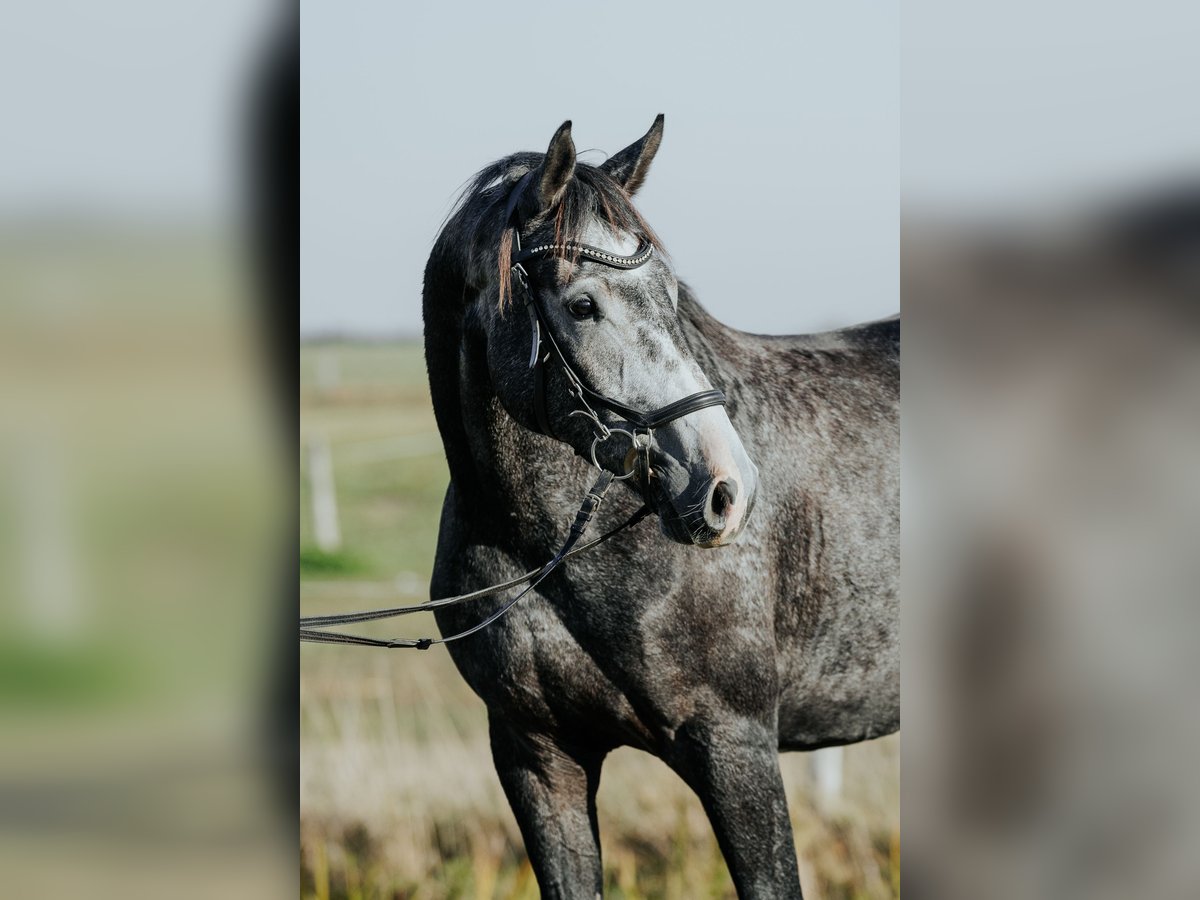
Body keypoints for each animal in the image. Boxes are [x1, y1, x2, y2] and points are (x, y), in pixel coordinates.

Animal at [417, 116, 897, 897]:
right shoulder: (536, 756)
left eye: (671, 297)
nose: (728, 489)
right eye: (583, 305)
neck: (552, 551)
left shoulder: (734, 745)